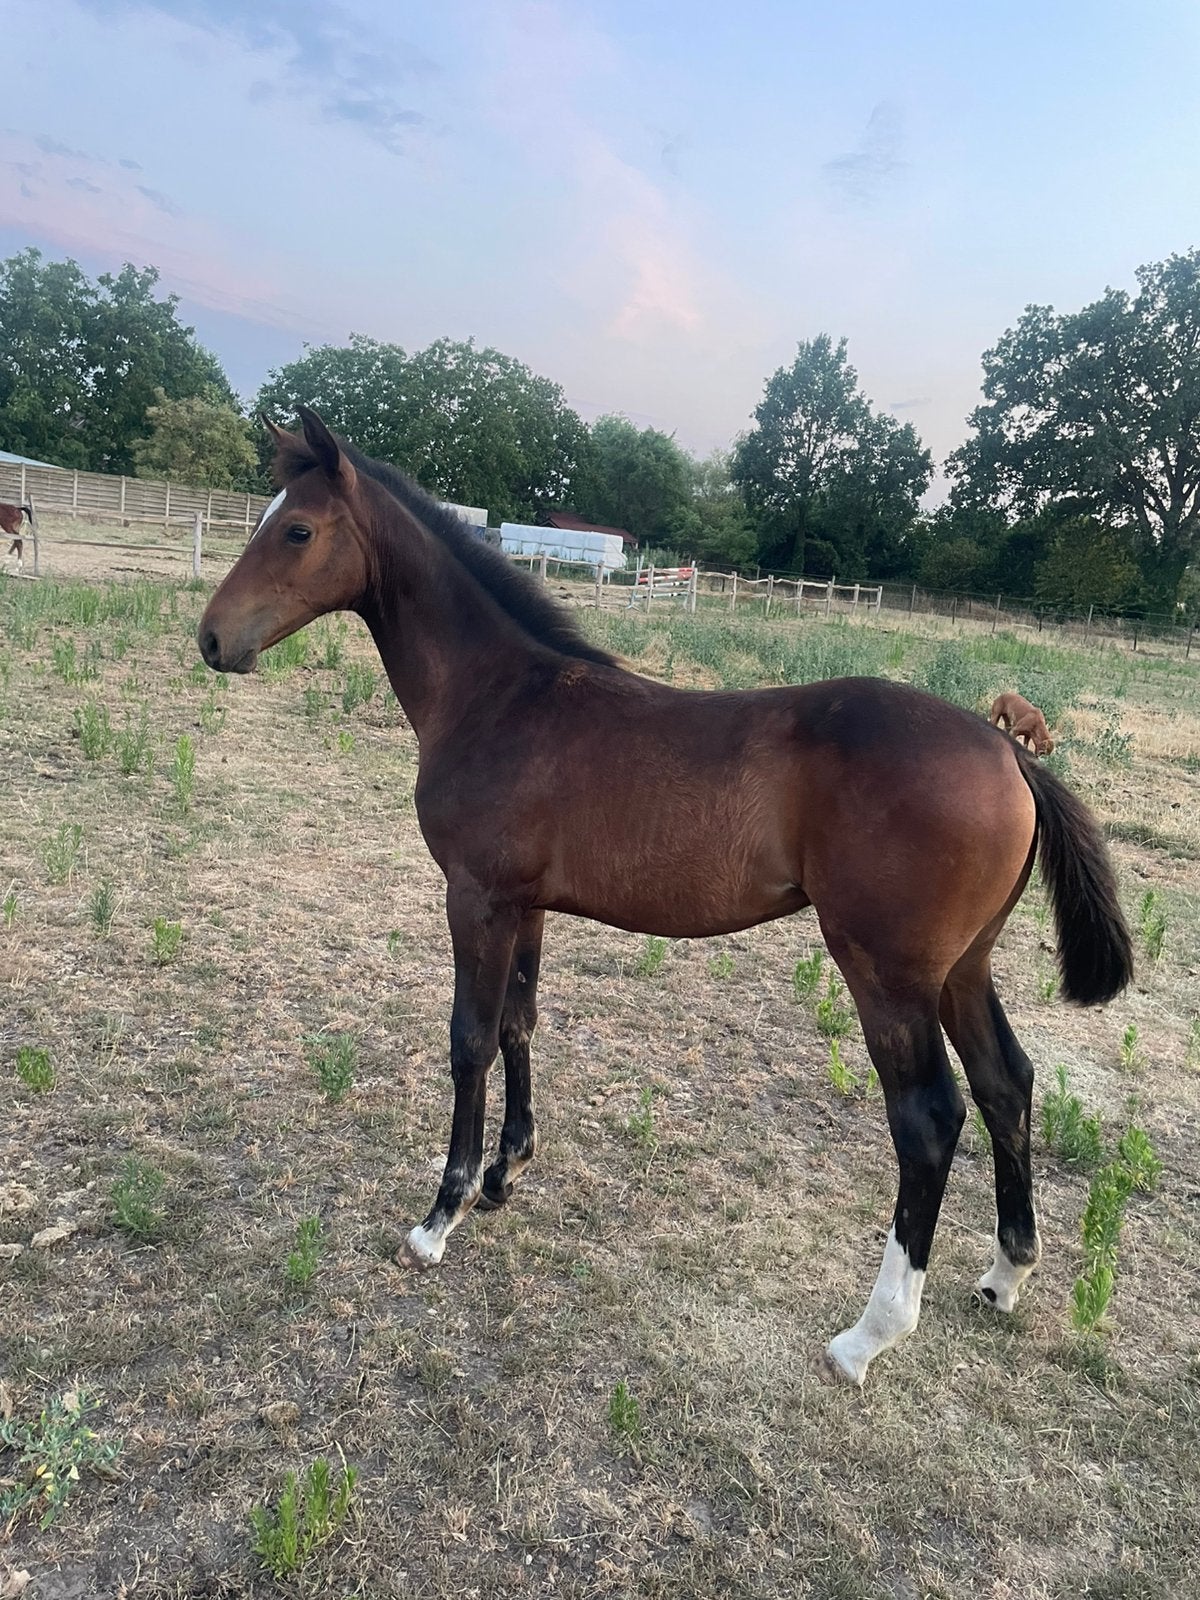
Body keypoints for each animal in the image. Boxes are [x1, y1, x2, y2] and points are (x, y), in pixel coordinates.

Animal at [197, 410, 1133, 1386]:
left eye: (297, 530)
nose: (213, 640)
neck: (500, 697)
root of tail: (1012, 754)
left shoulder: (476, 899)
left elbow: (469, 1041)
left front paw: (440, 1216)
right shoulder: (526, 906)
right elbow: (519, 1025)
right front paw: (504, 1175)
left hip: (889, 974)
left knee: (929, 1119)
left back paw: (868, 1335)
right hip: (963, 968)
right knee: (1005, 1083)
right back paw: (1005, 1273)